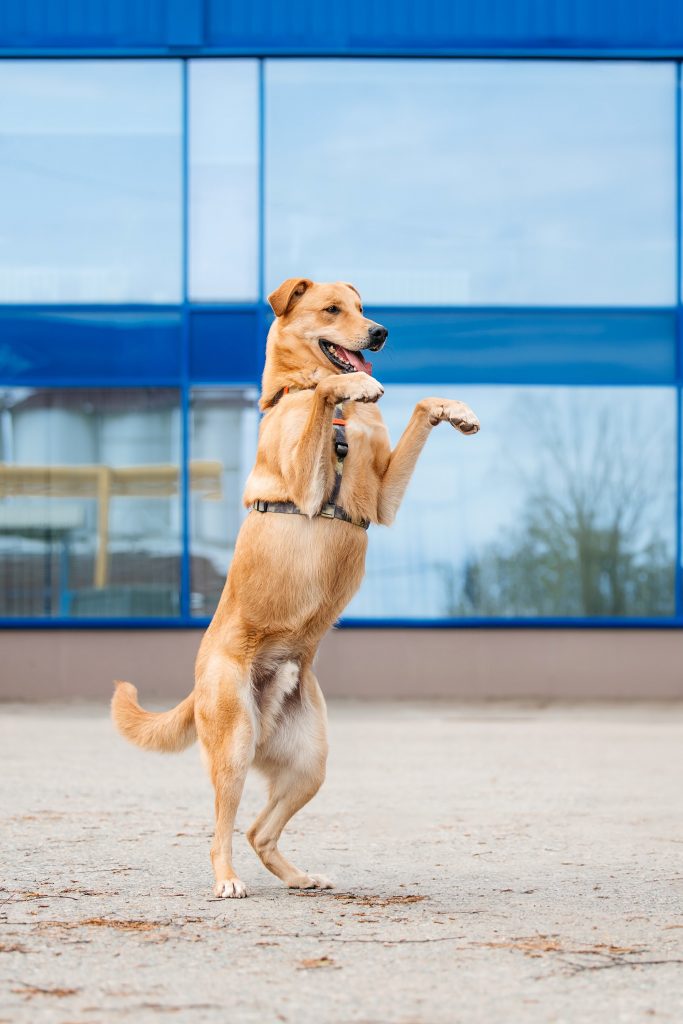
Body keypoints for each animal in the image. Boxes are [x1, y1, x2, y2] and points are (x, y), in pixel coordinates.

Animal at [111, 278, 481, 897]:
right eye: (332, 310)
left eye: (362, 307)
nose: (381, 332)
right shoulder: (309, 492)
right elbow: (329, 388)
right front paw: (351, 384)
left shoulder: (382, 502)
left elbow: (418, 406)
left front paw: (455, 409)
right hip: (235, 744)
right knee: (220, 829)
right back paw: (227, 881)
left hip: (311, 763)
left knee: (259, 830)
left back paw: (299, 876)